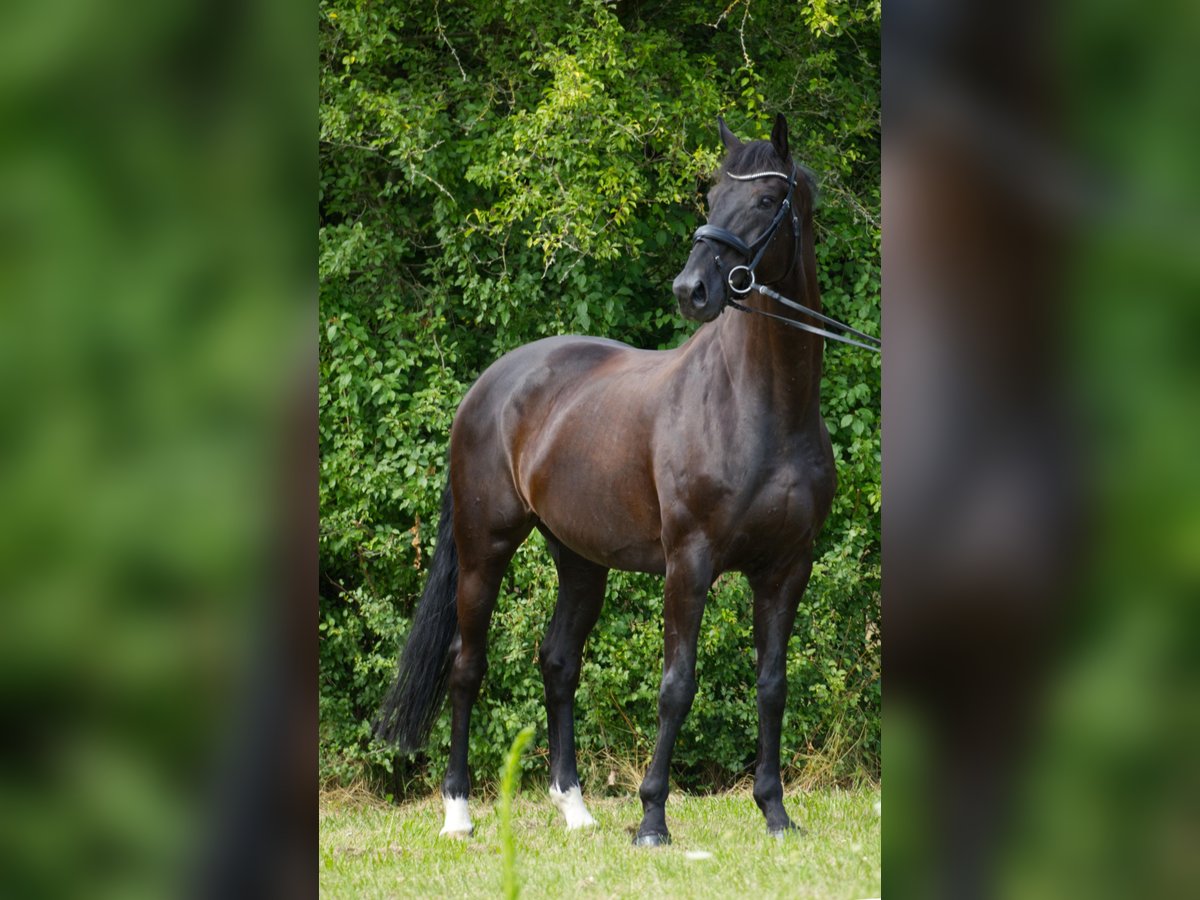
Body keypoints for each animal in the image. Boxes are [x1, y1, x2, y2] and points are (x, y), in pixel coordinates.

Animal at [369, 111, 878, 844]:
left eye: (763, 199)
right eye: (710, 193)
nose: (691, 290)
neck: (760, 410)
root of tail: (489, 386)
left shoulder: (787, 568)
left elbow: (773, 685)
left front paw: (776, 813)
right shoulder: (689, 562)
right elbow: (677, 685)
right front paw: (652, 821)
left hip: (580, 558)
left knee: (558, 663)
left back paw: (575, 808)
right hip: (484, 547)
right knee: (467, 667)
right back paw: (458, 813)